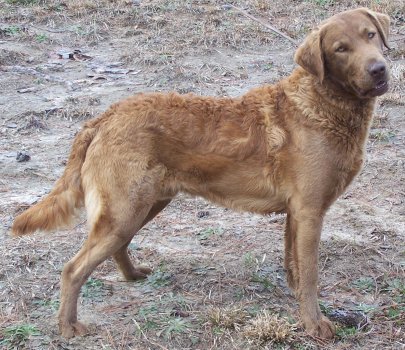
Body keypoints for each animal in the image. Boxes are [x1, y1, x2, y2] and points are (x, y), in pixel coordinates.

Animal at [13, 8, 388, 340]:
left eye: (371, 35)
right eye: (340, 49)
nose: (380, 69)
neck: (321, 104)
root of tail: (105, 117)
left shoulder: (296, 213)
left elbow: (294, 265)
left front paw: (296, 301)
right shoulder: (309, 211)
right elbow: (310, 274)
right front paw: (314, 324)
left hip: (144, 204)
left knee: (117, 246)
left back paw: (132, 276)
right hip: (125, 208)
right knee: (72, 269)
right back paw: (67, 327)